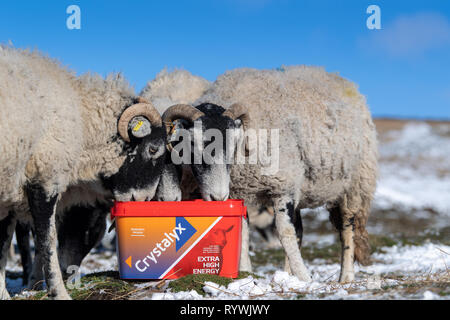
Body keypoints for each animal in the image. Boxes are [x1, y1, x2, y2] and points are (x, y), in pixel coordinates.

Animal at [0, 47, 167, 300]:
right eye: (153, 148)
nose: (145, 199)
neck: (83, 120)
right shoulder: (44, 178)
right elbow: (47, 240)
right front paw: (59, 292)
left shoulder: (10, 190)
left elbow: (2, 245)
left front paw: (2, 293)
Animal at [160, 66, 378, 282]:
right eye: (191, 144)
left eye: (234, 145)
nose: (218, 196)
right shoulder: (240, 192)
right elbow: (245, 233)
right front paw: (246, 273)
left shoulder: (284, 187)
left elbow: (285, 233)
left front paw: (305, 277)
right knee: (300, 230)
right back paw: (288, 274)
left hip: (354, 185)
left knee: (346, 228)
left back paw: (346, 276)